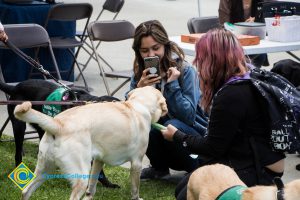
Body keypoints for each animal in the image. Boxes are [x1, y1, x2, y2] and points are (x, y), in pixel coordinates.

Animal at [14, 86, 168, 200]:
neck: (136, 105)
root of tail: (59, 124)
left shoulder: (99, 161)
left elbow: (92, 188)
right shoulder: (136, 163)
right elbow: (135, 189)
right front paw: (137, 197)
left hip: (44, 170)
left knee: (25, 191)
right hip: (81, 176)